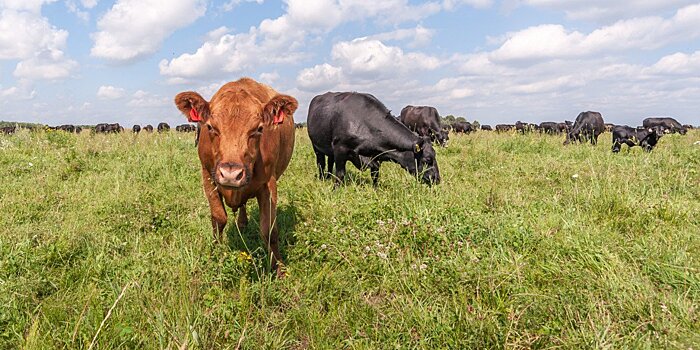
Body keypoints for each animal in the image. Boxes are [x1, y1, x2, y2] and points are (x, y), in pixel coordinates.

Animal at [175, 78, 298, 278]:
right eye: (210, 127)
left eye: (259, 129)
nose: (231, 174)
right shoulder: (207, 177)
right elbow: (219, 218)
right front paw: (215, 254)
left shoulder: (269, 184)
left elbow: (269, 230)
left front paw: (279, 269)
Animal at [306, 91, 438, 187]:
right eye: (427, 159)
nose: (437, 179)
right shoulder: (340, 149)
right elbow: (340, 174)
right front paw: (335, 190)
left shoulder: (374, 156)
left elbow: (375, 172)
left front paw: (376, 189)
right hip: (316, 146)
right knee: (321, 163)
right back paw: (323, 179)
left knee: (329, 161)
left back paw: (329, 177)